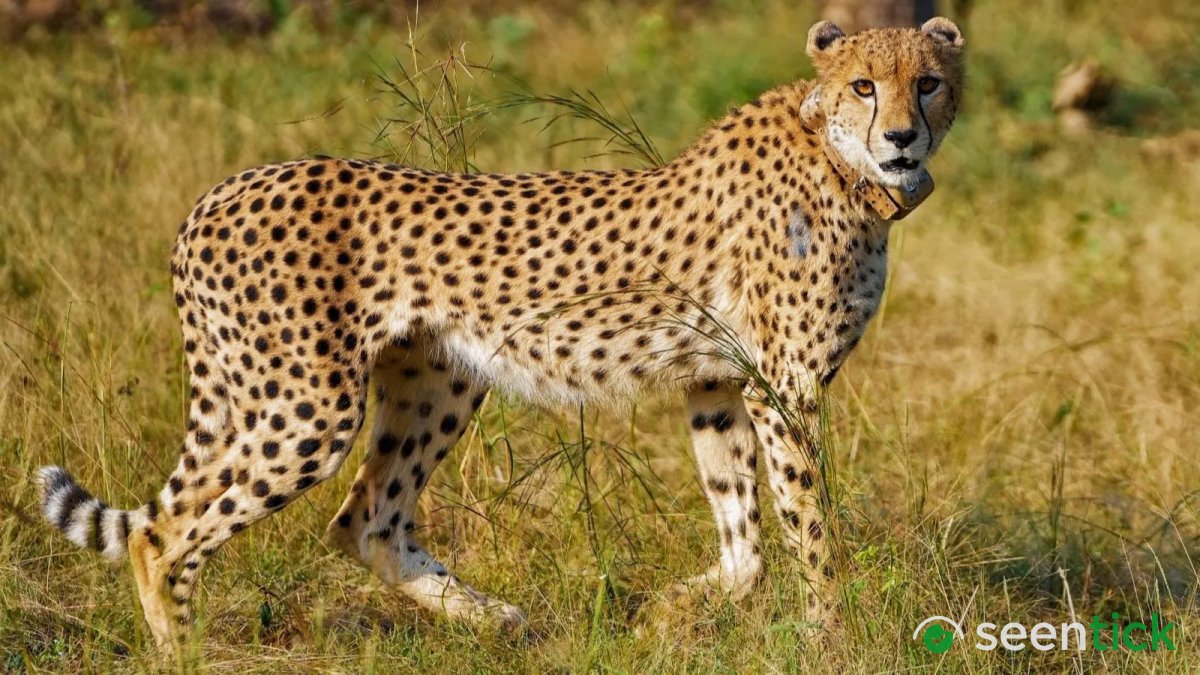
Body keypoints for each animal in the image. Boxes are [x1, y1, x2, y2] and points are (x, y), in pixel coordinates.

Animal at [37, 17, 964, 650]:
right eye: (864, 86)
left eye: (928, 83)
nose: (901, 135)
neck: (842, 163)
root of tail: (221, 190)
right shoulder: (784, 388)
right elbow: (810, 526)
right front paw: (831, 636)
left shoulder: (718, 381)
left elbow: (746, 540)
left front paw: (673, 608)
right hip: (306, 407)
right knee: (164, 533)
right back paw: (183, 649)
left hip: (437, 379)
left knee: (365, 518)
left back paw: (492, 617)